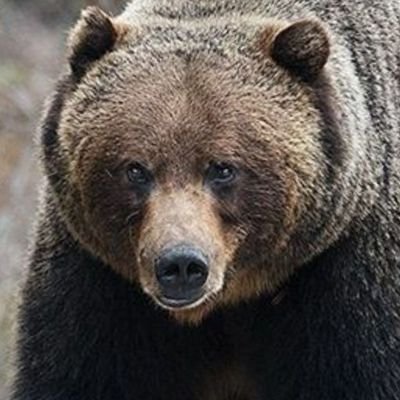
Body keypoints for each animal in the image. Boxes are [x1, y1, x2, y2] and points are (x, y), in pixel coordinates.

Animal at [10, 0, 400, 398]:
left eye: (222, 168)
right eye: (135, 169)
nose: (180, 264)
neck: (227, 300)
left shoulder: (346, 278)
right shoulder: (99, 284)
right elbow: (79, 373)